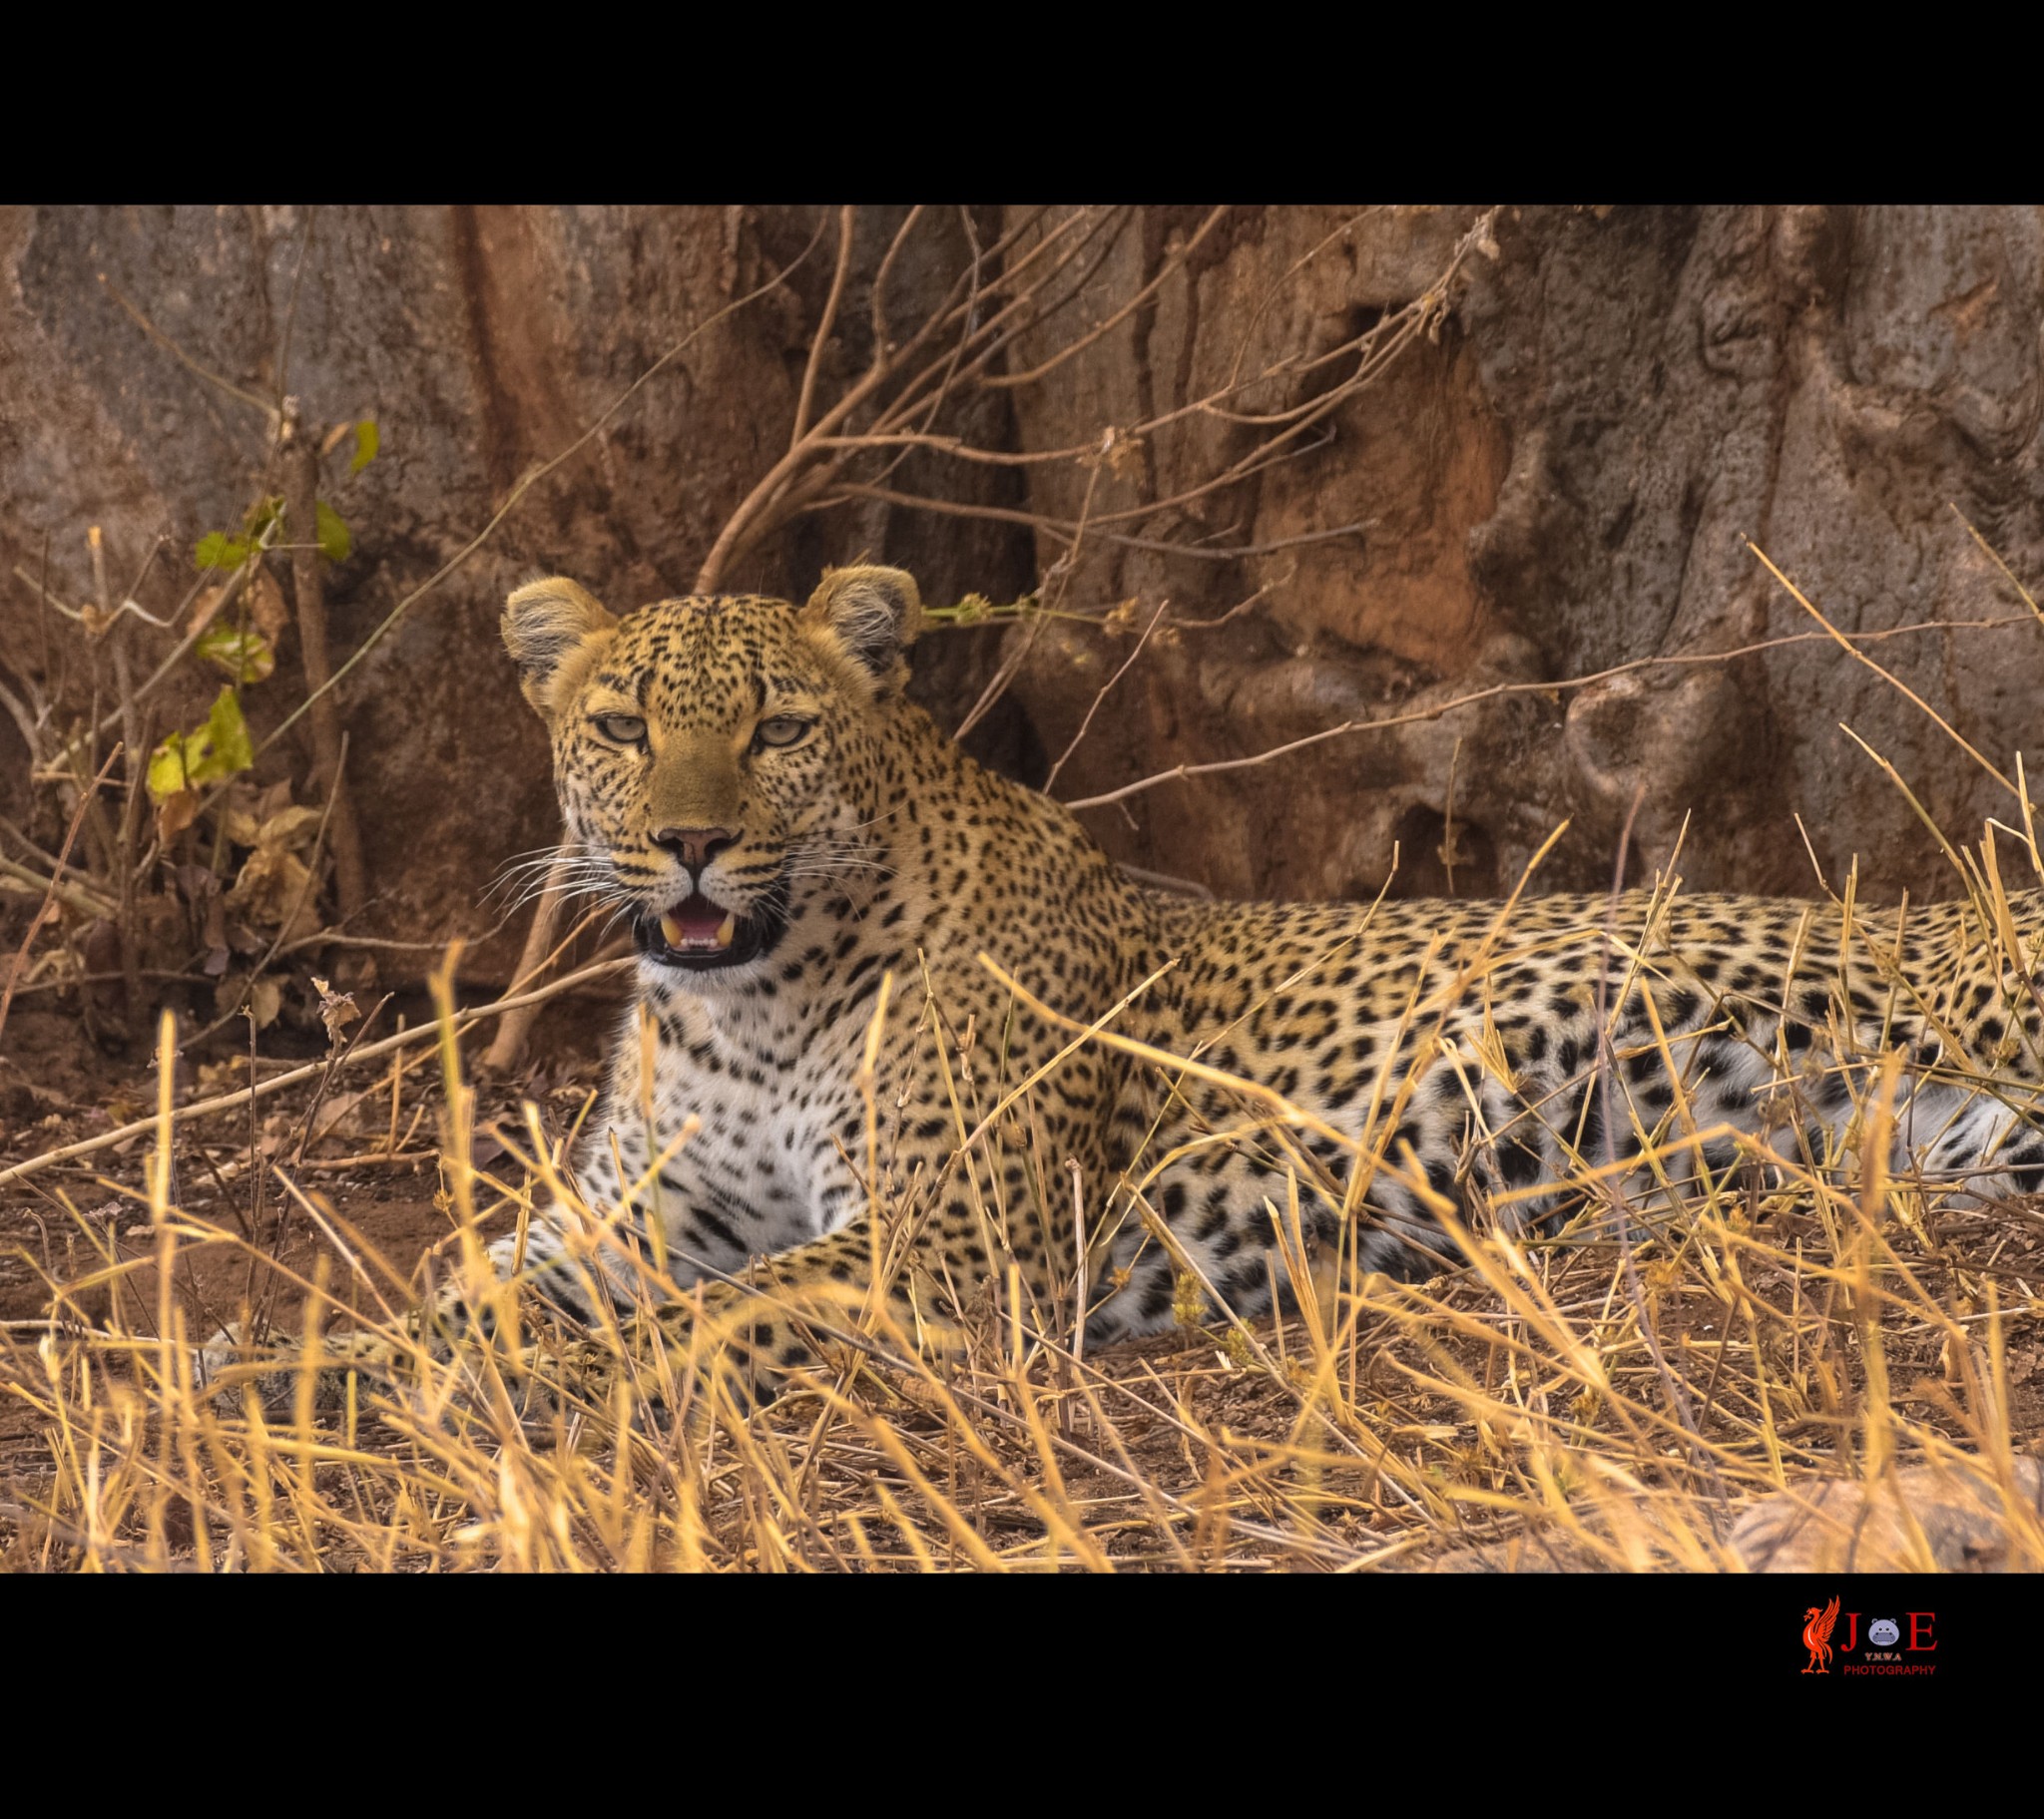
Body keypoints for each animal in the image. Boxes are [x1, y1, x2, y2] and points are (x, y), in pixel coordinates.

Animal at [271, 560, 2044, 1414]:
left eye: (777, 727)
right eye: (623, 727)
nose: (691, 843)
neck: (744, 1009)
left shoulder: (945, 1254)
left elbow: (681, 1328)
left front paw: (487, 1395)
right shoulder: (635, 1221)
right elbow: (462, 1294)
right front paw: (291, 1376)